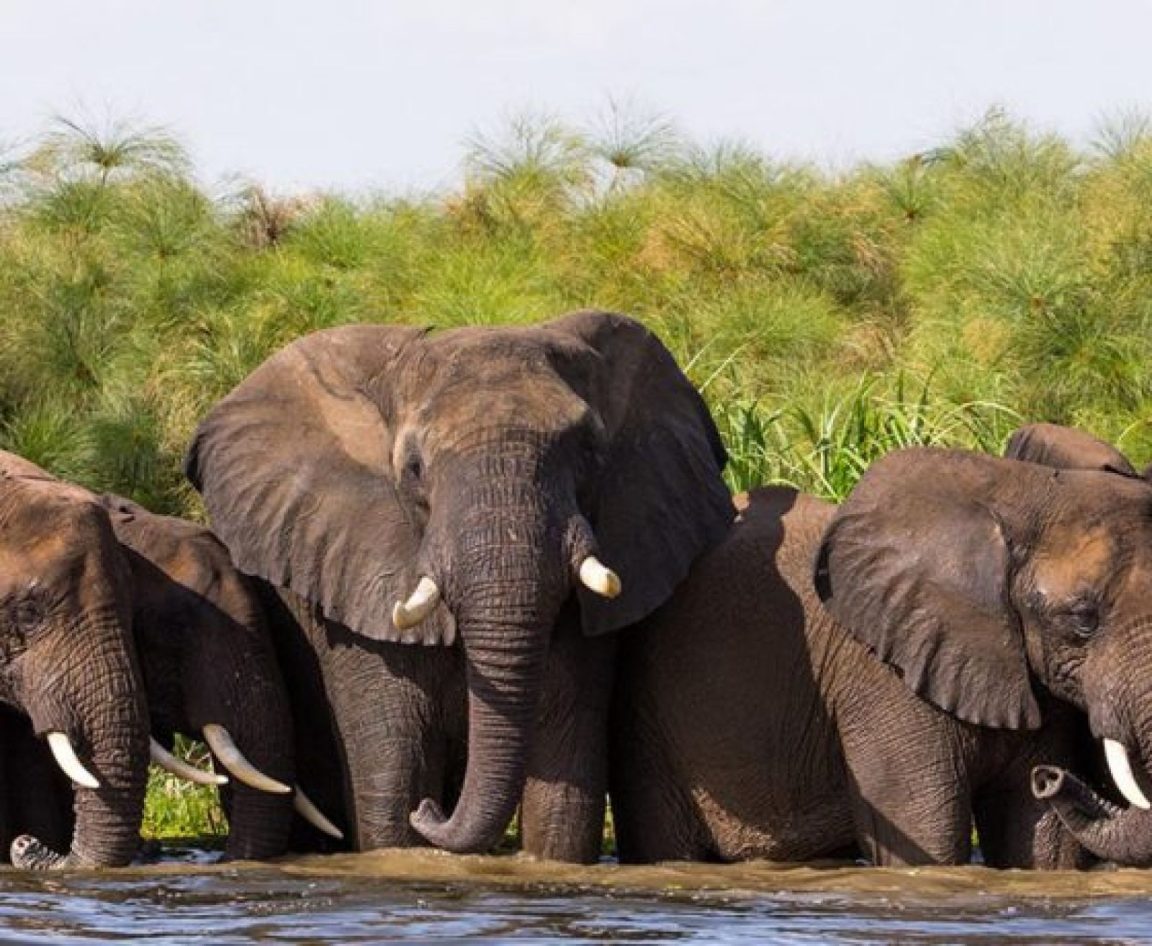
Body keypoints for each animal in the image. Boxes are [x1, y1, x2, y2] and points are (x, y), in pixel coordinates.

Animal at [184, 310, 732, 861]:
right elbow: (394, 775)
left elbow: (564, 773)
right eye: (414, 468)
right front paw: (411, 830)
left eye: (591, 453)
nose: (432, 813)